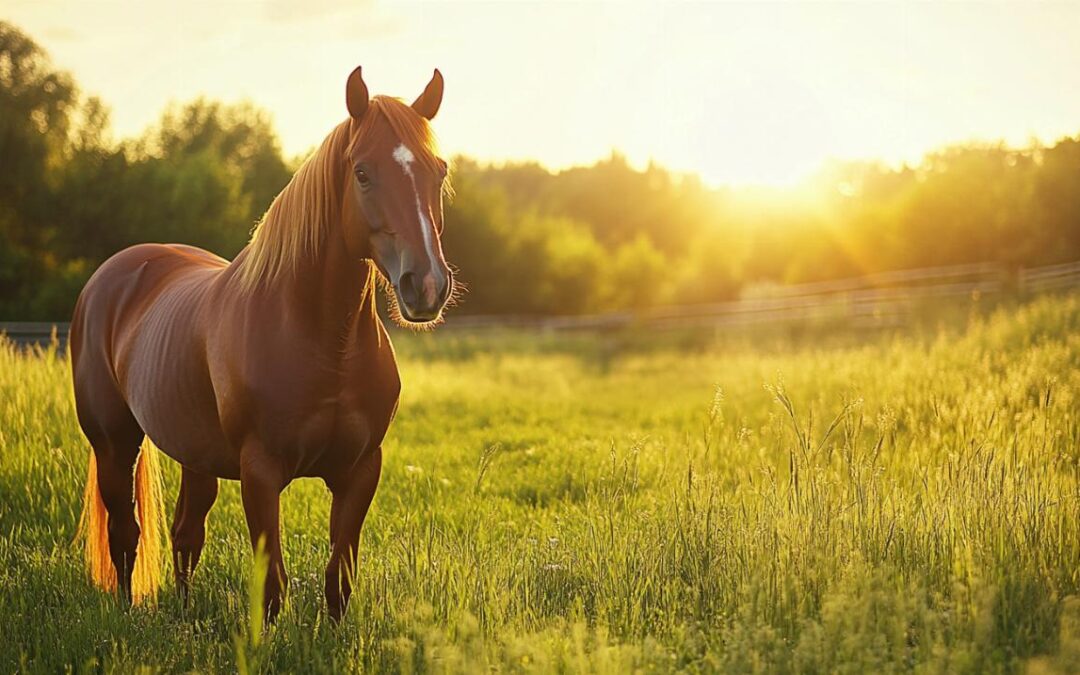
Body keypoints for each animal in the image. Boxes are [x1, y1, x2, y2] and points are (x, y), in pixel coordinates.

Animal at [70, 67, 454, 622]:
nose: (425, 285)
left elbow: (338, 579)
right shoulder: (261, 474)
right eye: (362, 172)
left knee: (186, 534)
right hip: (114, 443)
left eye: (438, 171)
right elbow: (273, 585)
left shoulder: (360, 471)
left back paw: (182, 616)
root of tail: (114, 273)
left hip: (193, 453)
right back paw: (126, 614)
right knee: (126, 535)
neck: (323, 342)